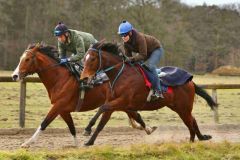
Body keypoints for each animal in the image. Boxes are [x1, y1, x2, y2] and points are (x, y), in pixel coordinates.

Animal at [11, 43, 156, 148]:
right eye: (20, 59)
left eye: (27, 59)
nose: (15, 76)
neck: (59, 78)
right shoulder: (63, 109)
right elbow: (71, 127)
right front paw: (77, 144)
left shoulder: (59, 105)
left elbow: (44, 123)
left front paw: (27, 143)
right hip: (120, 102)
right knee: (135, 114)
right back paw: (149, 129)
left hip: (119, 101)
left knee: (133, 114)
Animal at [80, 42, 218, 146]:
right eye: (84, 58)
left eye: (92, 58)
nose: (84, 78)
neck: (121, 76)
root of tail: (190, 81)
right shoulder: (115, 103)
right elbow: (102, 123)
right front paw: (89, 142)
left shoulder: (122, 101)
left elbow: (102, 108)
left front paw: (87, 129)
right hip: (178, 107)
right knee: (192, 121)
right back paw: (198, 138)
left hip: (183, 108)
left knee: (190, 122)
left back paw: (192, 141)